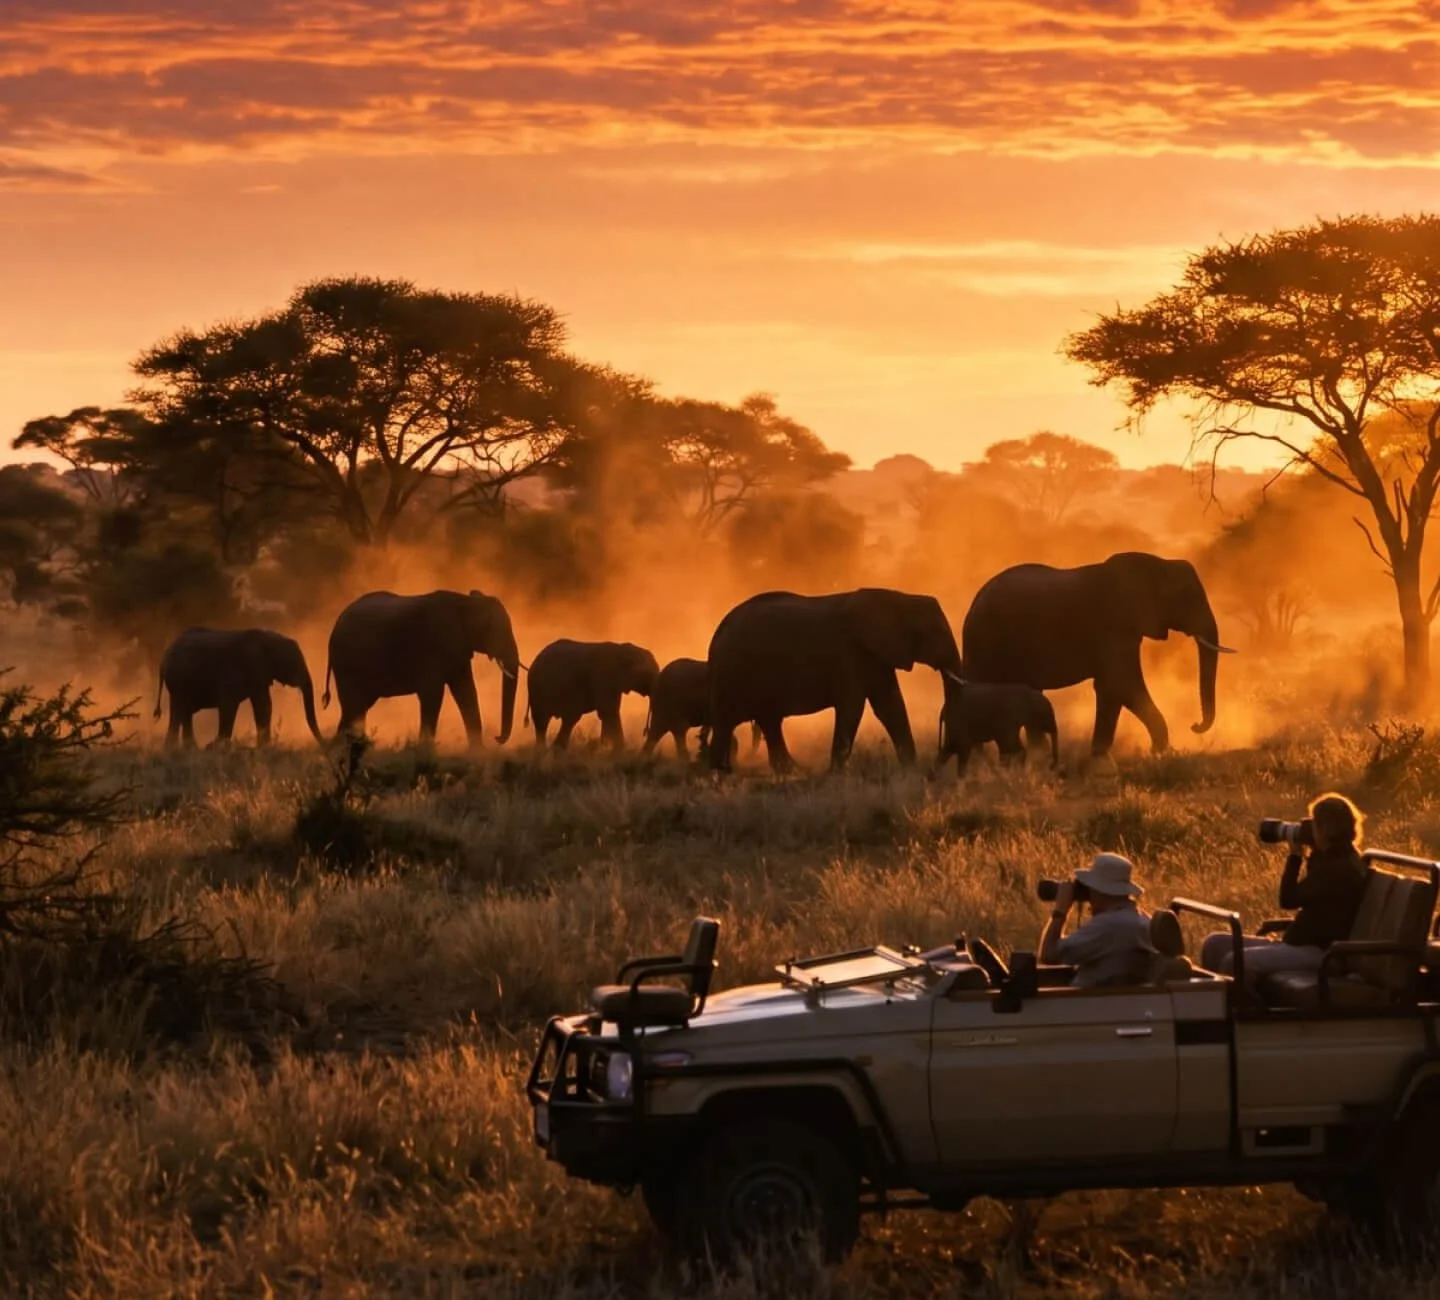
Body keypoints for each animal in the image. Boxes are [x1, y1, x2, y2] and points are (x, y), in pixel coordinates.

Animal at [153, 627, 323, 748]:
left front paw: (263, 747)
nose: (324, 743)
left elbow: (264, 706)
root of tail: (163, 658)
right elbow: (231, 706)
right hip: (179, 680)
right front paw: (216, 746)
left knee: (180, 713)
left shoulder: (259, 676)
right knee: (182, 712)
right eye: (294, 663)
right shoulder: (240, 670)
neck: (269, 637)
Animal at [323, 590, 518, 747]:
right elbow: (433, 694)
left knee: (356, 710)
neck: (466, 602)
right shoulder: (433, 646)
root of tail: (336, 624)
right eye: (497, 630)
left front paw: (477, 753)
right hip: (347, 664)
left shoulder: (458, 649)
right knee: (353, 707)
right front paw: (425, 751)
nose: (497, 738)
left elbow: (466, 692)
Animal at [527, 639, 660, 751]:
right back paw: (543, 750)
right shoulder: (604, 675)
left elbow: (610, 711)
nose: (645, 731)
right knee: (542, 721)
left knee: (569, 719)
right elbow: (608, 711)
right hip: (539, 688)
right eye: (649, 675)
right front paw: (618, 750)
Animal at [706, 588, 963, 774]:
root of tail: (718, 631)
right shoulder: (849, 656)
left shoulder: (875, 657)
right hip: (733, 673)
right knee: (729, 721)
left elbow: (890, 706)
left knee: (768, 720)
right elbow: (853, 708)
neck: (899, 598)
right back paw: (719, 774)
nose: (933, 770)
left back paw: (789, 770)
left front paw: (911, 770)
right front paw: (836, 775)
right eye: (938, 632)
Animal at [961, 552, 1234, 758]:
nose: (1195, 725)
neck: (1157, 563)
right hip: (983, 641)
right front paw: (1163, 753)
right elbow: (1121, 683)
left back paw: (1037, 757)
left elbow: (1110, 688)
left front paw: (1101, 756)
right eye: (1185, 596)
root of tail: (974, 600)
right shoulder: (1113, 625)